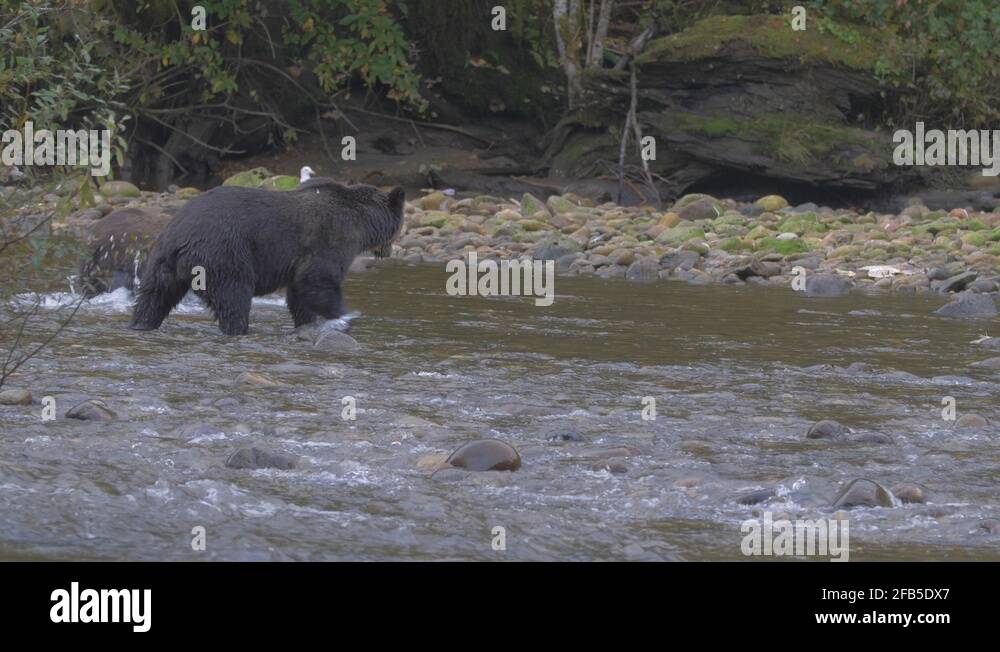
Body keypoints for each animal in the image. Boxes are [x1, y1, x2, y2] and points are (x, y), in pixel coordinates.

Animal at [129, 178, 404, 335]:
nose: (389, 251)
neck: (362, 222)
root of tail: (180, 239)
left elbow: (299, 293)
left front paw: (308, 323)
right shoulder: (330, 238)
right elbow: (318, 279)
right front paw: (345, 315)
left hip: (161, 263)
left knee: (153, 298)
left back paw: (141, 324)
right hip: (223, 254)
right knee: (234, 297)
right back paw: (238, 329)